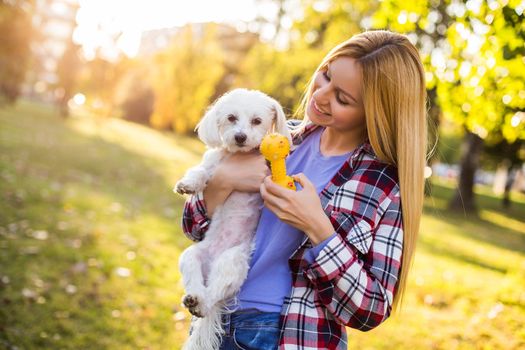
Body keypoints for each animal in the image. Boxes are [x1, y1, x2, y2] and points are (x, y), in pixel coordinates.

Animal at [175, 88, 290, 350]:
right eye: (231, 118)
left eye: (257, 121)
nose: (240, 136)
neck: (239, 155)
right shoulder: (212, 166)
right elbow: (201, 171)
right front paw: (188, 184)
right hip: (191, 257)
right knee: (197, 284)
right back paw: (194, 298)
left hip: (231, 262)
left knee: (214, 293)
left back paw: (202, 302)